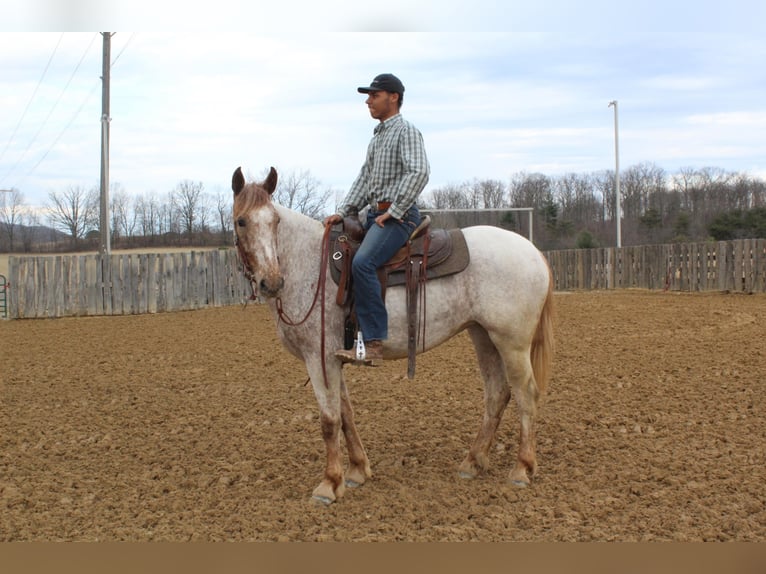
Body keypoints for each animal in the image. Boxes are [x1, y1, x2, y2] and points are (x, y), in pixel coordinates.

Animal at [231, 165, 556, 504]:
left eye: (275, 221)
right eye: (241, 221)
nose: (271, 282)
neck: (307, 264)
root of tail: (533, 252)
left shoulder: (319, 359)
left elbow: (329, 420)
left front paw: (329, 484)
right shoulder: (334, 359)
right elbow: (346, 413)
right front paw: (357, 471)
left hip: (512, 343)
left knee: (526, 394)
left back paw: (522, 468)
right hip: (484, 337)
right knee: (497, 394)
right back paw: (473, 462)